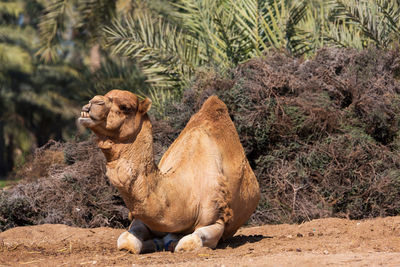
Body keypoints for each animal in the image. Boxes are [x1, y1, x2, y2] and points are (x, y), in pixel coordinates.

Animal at [78, 89, 260, 253]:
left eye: (125, 107)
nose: (91, 104)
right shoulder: (142, 218)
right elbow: (126, 241)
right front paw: (154, 243)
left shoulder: (216, 220)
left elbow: (188, 242)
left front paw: (173, 242)